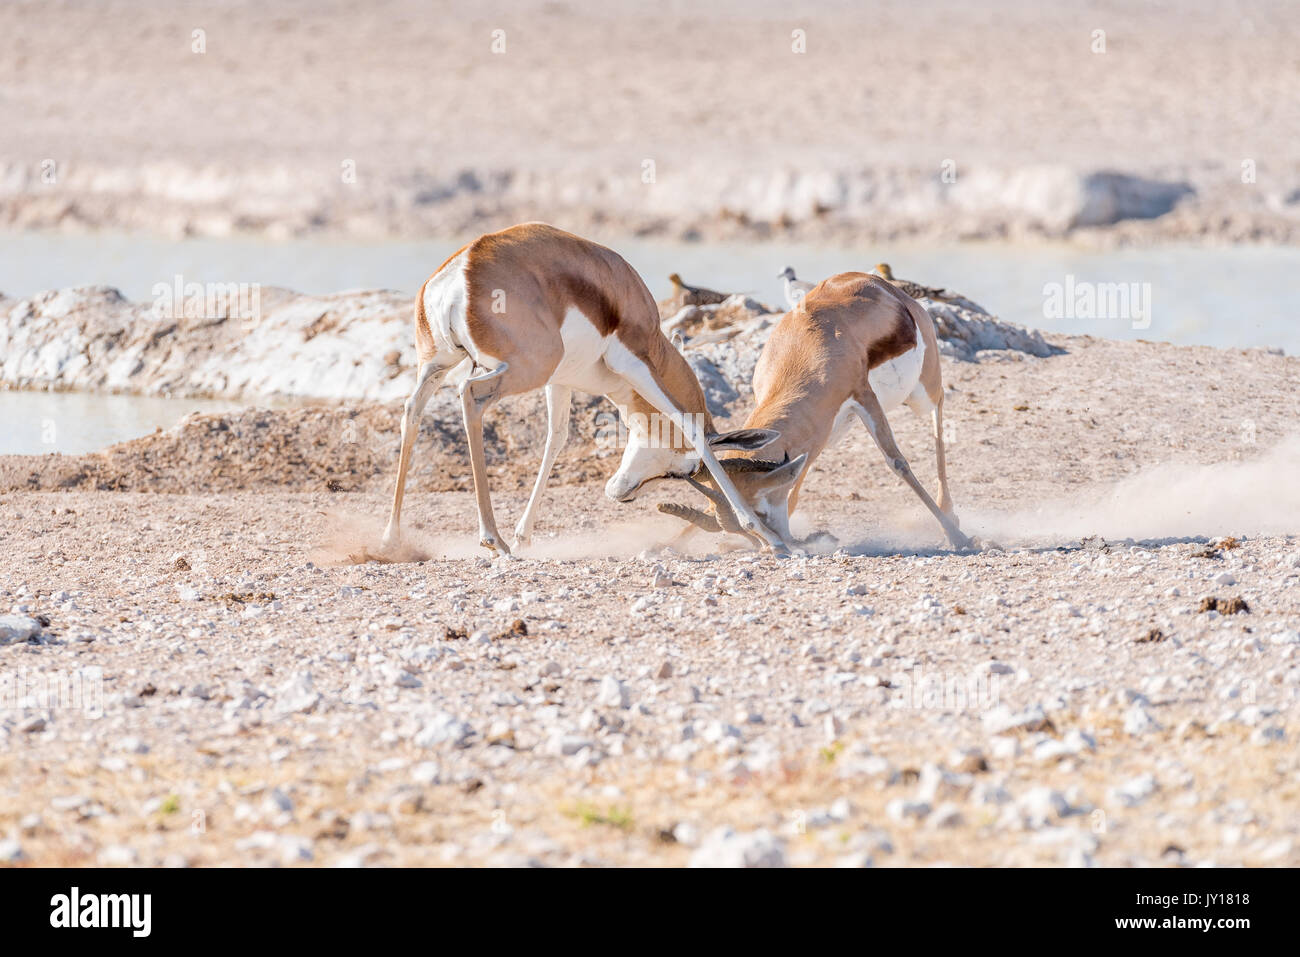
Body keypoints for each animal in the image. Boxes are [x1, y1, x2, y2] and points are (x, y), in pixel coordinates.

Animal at [379, 221, 785, 556]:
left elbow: (555, 440)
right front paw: (766, 534)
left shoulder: (560, 382)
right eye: (681, 472)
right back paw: (492, 539)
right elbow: (687, 424)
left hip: (437, 364)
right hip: (524, 368)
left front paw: (525, 537)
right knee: (471, 396)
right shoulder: (633, 363)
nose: (620, 493)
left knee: (412, 410)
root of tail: (463, 268)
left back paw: (392, 539)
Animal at [665, 273, 972, 548]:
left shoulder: (863, 396)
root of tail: (886, 286)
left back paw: (951, 518)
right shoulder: (819, 427)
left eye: (759, 513)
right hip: (838, 427)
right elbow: (794, 486)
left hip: (922, 391)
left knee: (939, 408)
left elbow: (897, 462)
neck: (805, 346)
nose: (773, 547)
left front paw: (960, 538)